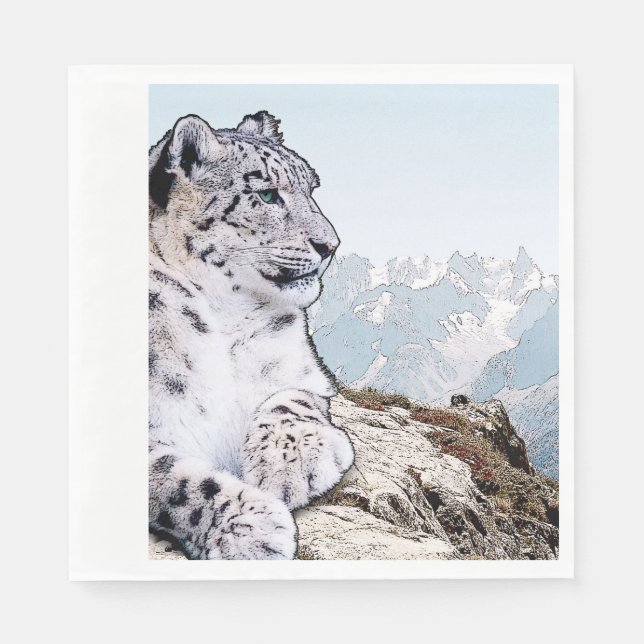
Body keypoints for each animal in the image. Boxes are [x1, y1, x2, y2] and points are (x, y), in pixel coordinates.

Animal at [148, 111, 354, 559]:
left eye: (311, 188)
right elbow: (172, 478)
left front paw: (290, 462)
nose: (330, 245)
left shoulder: (303, 371)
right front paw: (248, 530)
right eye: (267, 195)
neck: (225, 316)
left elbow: (292, 399)